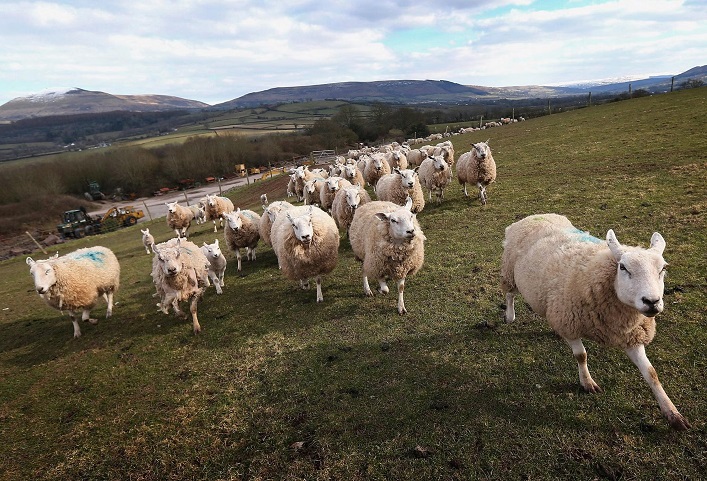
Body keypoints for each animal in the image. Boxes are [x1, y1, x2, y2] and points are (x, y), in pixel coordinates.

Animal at [500, 213, 691, 430]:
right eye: (623, 267)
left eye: (663, 269)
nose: (652, 302)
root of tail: (535, 215)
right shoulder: (570, 322)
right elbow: (581, 355)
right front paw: (587, 382)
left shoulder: (631, 336)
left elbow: (651, 373)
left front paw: (672, 413)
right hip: (509, 273)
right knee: (509, 295)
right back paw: (510, 316)